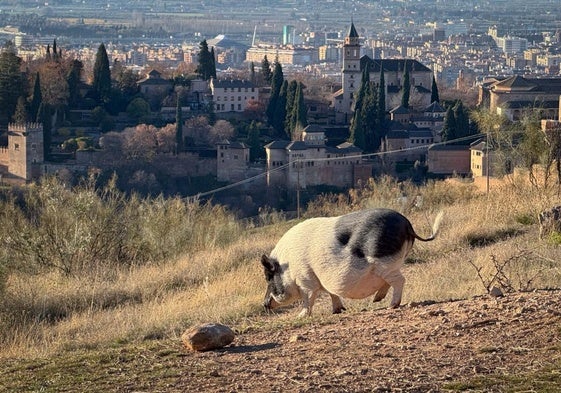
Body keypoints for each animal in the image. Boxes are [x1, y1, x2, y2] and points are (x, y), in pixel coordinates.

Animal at [262, 208, 442, 316]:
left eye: (268, 277)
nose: (264, 304)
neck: (288, 267)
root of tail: (407, 225)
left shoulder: (306, 280)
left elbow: (309, 298)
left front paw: (301, 316)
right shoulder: (322, 280)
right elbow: (332, 293)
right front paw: (338, 311)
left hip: (384, 263)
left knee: (399, 280)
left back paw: (391, 306)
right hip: (391, 264)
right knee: (389, 282)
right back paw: (376, 300)